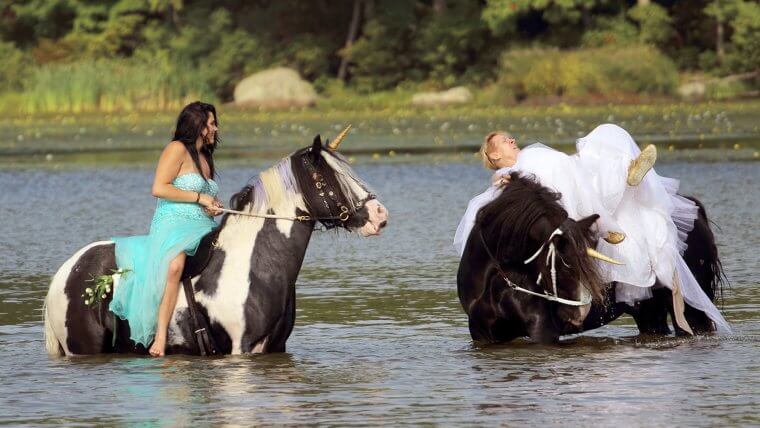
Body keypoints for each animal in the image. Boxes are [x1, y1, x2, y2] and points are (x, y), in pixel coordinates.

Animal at [44, 131, 389, 356]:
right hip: (83, 348)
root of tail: (67, 270)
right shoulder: (241, 349)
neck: (251, 265)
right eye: (327, 179)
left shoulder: (275, 348)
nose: (379, 215)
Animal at [457, 173, 723, 344]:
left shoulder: (542, 331)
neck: (497, 279)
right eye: (563, 265)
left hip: (691, 310)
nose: (579, 315)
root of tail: (694, 210)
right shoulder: (483, 334)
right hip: (649, 312)